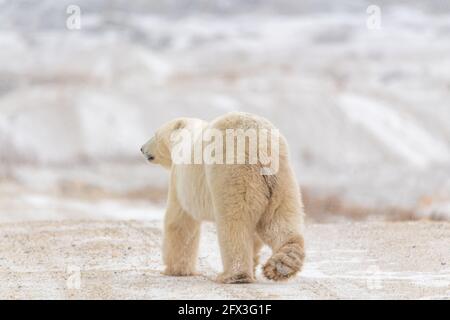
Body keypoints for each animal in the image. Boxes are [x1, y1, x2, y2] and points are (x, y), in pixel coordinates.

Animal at [141, 112, 306, 282]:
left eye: (155, 134)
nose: (142, 148)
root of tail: (259, 143)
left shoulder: (181, 179)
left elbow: (179, 221)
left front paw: (175, 270)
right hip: (281, 178)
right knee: (279, 219)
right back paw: (282, 265)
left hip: (232, 172)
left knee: (234, 223)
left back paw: (234, 275)